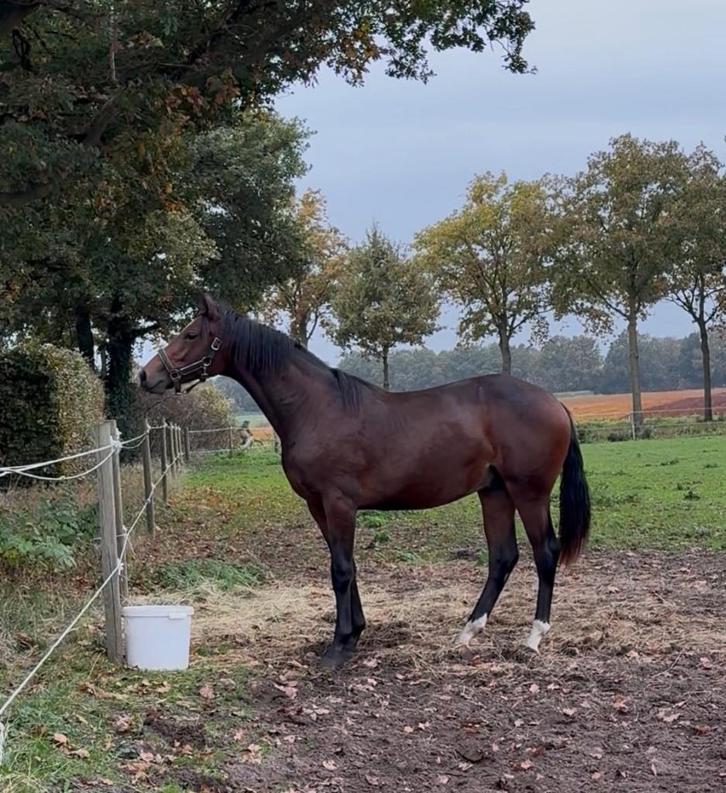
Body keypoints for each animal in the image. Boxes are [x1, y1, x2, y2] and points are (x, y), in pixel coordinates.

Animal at [140, 295, 591, 668]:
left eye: (191, 334)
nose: (146, 376)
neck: (318, 407)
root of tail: (554, 402)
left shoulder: (339, 502)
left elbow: (340, 569)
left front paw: (338, 647)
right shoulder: (318, 505)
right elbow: (346, 565)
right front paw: (354, 633)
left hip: (528, 492)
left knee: (545, 553)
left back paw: (533, 638)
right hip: (494, 492)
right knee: (502, 558)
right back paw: (466, 632)